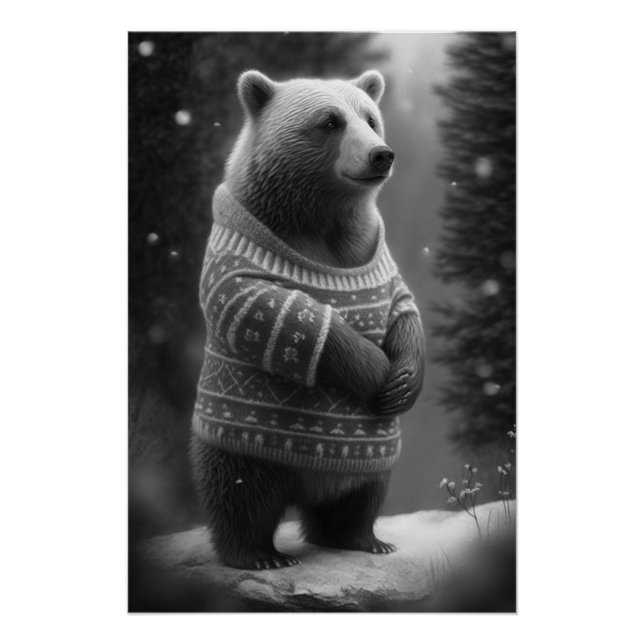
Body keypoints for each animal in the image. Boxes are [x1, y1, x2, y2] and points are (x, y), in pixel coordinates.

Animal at [190, 69, 425, 570]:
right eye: (330, 121)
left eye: (370, 118)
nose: (381, 154)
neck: (320, 217)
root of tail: (308, 490)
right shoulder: (239, 253)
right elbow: (280, 316)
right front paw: (378, 371)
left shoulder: (372, 253)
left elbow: (403, 307)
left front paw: (403, 381)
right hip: (245, 440)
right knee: (239, 491)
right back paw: (260, 555)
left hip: (370, 457)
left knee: (363, 491)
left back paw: (363, 538)